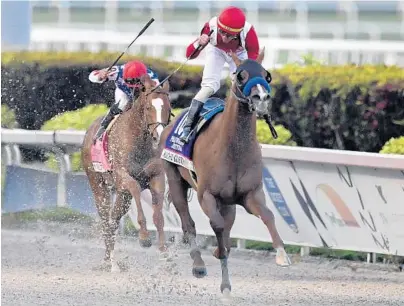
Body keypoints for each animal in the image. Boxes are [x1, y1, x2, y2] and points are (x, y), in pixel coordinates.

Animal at [81, 75, 171, 272]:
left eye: (168, 108)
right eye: (148, 108)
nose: (159, 136)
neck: (139, 140)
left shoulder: (156, 177)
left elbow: (158, 214)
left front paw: (164, 250)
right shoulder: (123, 178)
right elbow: (136, 188)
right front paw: (144, 237)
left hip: (122, 196)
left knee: (113, 220)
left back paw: (111, 259)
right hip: (99, 187)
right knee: (106, 220)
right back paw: (111, 262)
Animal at [159, 49, 292, 294]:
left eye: (266, 75)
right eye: (240, 75)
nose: (261, 98)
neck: (233, 149)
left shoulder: (250, 194)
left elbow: (267, 215)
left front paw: (281, 254)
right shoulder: (207, 195)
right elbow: (217, 225)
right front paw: (220, 258)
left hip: (228, 201)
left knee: (227, 221)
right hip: (174, 178)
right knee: (188, 223)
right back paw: (198, 264)